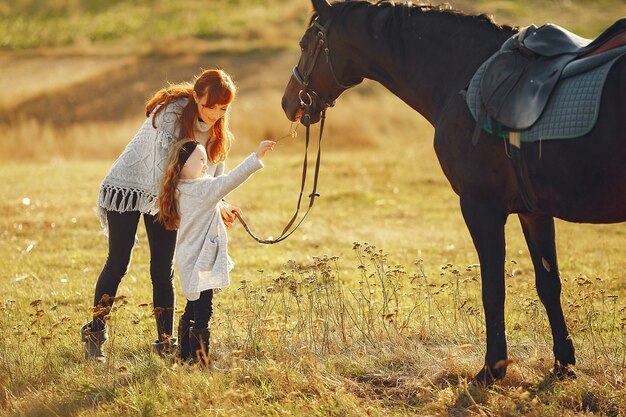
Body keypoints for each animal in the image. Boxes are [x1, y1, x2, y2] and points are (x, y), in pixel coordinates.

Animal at [280, 0, 624, 384]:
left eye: (304, 43)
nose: (288, 102)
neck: (463, 73)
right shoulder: (533, 211)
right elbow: (548, 284)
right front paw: (563, 364)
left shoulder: (481, 207)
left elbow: (493, 289)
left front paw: (492, 369)